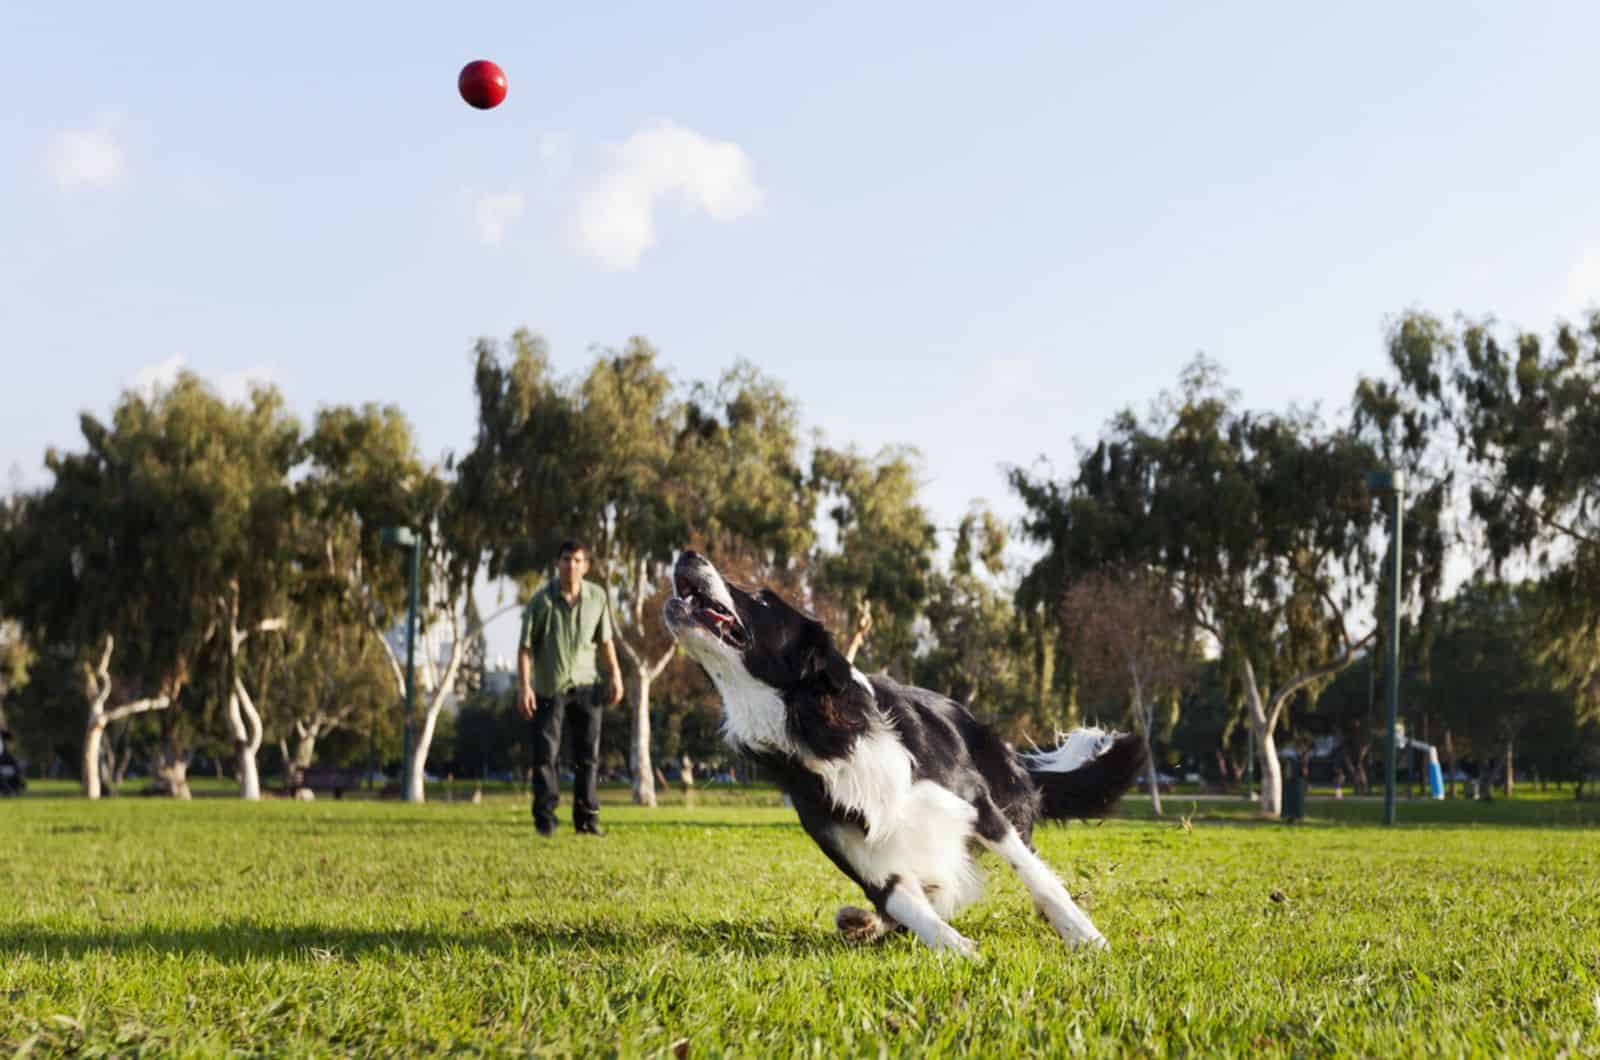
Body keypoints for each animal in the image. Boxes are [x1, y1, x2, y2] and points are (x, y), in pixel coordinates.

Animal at [665, 550, 1152, 960]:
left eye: (762, 599)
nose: (687, 553)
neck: (828, 732)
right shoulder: (859, 852)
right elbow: (907, 906)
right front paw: (961, 952)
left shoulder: (976, 804)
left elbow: (1036, 875)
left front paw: (1085, 936)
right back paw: (862, 921)